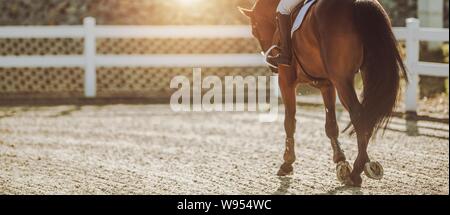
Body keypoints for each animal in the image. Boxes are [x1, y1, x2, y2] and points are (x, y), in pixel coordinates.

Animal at [239, 0, 408, 187]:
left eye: (254, 29)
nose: (272, 65)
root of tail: (357, 4)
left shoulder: (286, 81)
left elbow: (289, 121)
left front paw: (287, 163)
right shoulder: (327, 85)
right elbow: (331, 126)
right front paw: (341, 161)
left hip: (342, 80)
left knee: (358, 114)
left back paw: (356, 173)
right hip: (363, 73)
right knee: (367, 115)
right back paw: (364, 166)